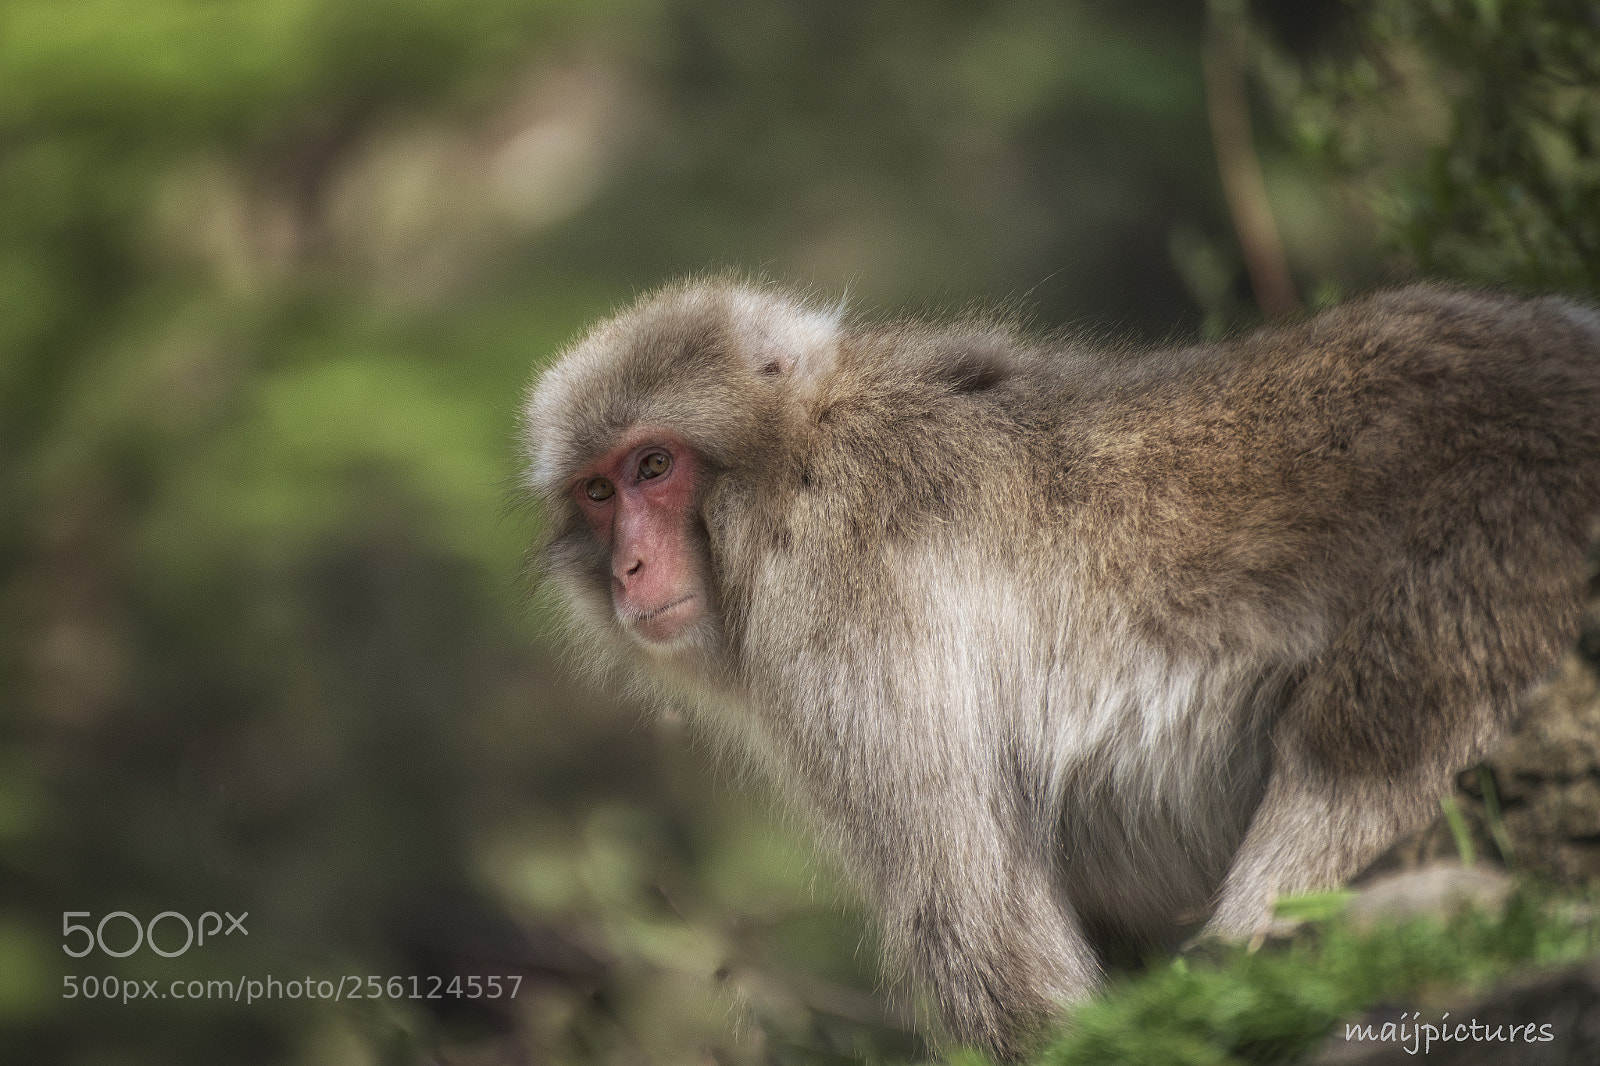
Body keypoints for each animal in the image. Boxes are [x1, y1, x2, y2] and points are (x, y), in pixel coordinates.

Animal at [520, 278, 1600, 1058]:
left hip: (1499, 561)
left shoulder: (838, 607)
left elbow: (983, 927)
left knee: (1364, 754)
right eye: (598, 491)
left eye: (654, 467)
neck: (795, 455)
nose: (628, 566)